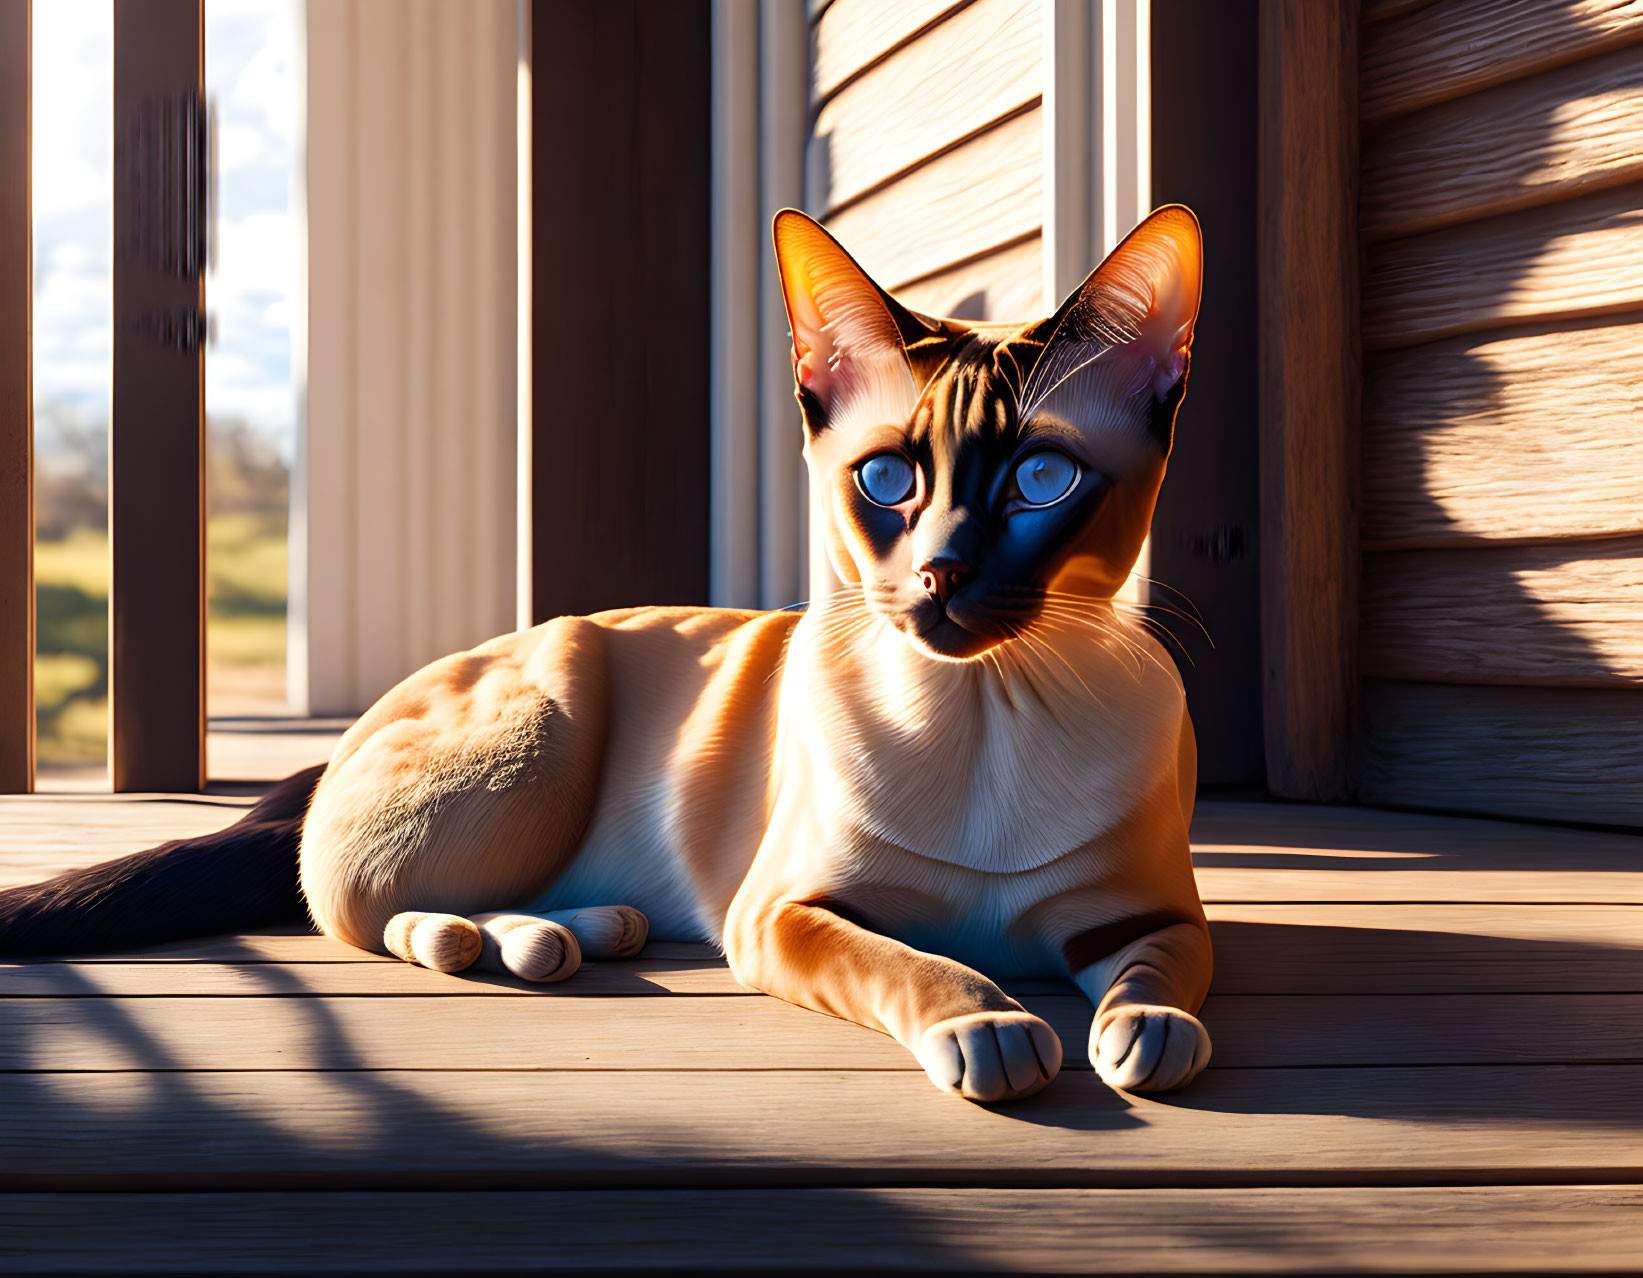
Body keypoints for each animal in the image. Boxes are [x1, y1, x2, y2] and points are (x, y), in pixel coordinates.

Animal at [0, 204, 1215, 1097]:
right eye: (886, 480)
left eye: (1040, 480)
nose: (942, 573)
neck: (986, 710)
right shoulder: (784, 916)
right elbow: (910, 964)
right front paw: (993, 1031)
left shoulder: (1150, 914)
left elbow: (1161, 975)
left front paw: (1142, 1035)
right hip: (549, 730)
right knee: (360, 907)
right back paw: (503, 941)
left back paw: (588, 928)